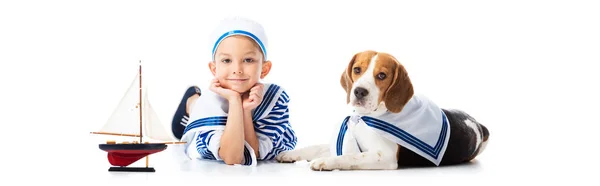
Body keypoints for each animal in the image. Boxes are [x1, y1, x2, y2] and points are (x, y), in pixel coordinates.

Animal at [274, 50, 490, 171]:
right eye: (357, 70)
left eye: (382, 75)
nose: (359, 91)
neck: (367, 116)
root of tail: (478, 125)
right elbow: (315, 147)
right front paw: (290, 153)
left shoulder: (384, 156)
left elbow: (348, 156)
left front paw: (326, 161)